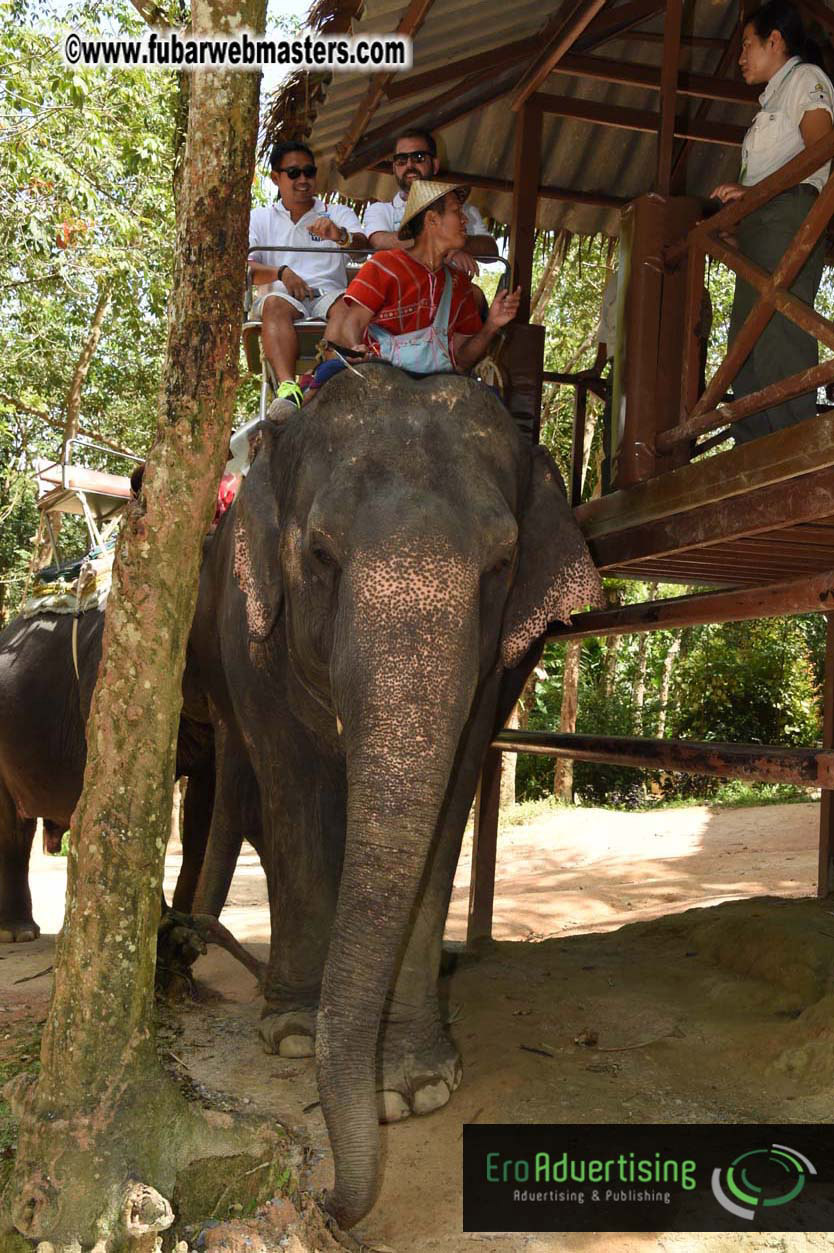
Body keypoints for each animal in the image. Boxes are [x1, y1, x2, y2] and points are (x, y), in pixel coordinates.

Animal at [188, 363, 602, 1228]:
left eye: (501, 564)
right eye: (319, 552)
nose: (332, 1203)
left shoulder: (494, 668)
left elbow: (445, 809)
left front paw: (413, 1089)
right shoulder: (257, 637)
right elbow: (295, 797)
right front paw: (292, 1034)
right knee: (250, 779)